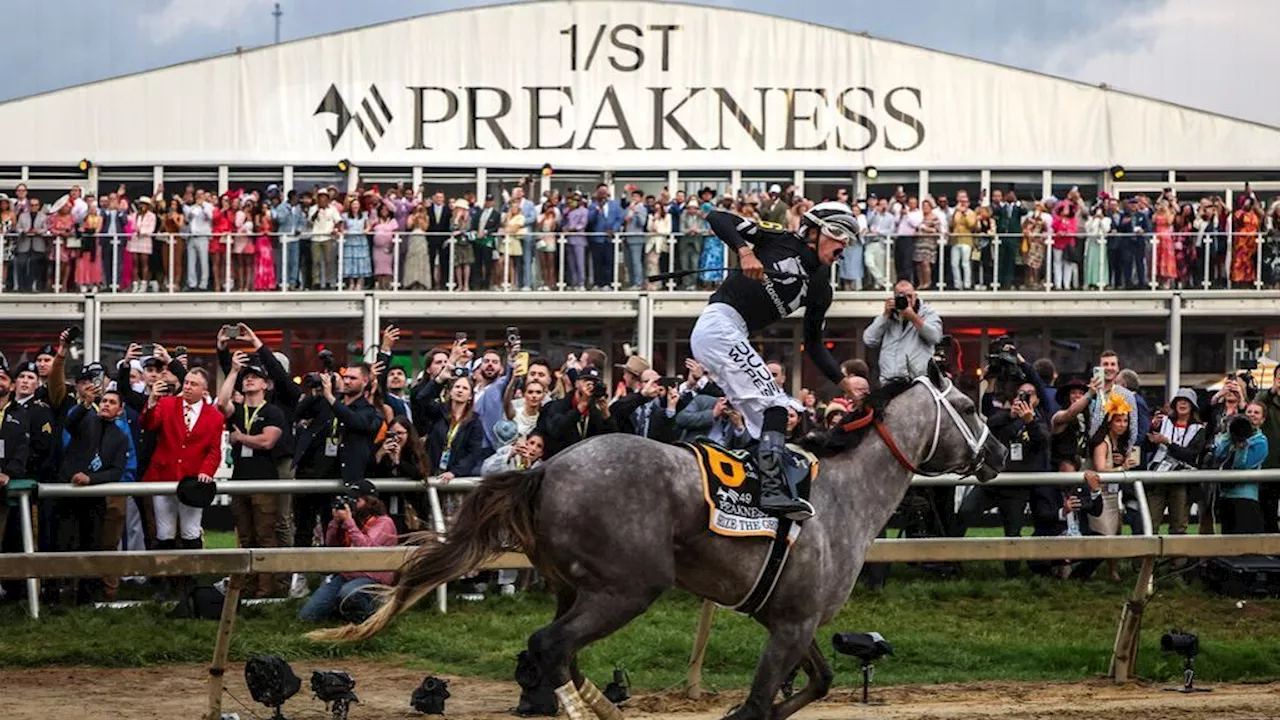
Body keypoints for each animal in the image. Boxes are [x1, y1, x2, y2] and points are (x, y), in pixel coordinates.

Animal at [309, 363, 998, 717]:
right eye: (967, 404)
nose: (993, 455)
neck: (840, 498)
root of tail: (544, 468)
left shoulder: (790, 620)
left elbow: (820, 683)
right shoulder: (791, 624)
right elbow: (758, 704)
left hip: (575, 588)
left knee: (558, 652)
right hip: (628, 589)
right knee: (550, 646)